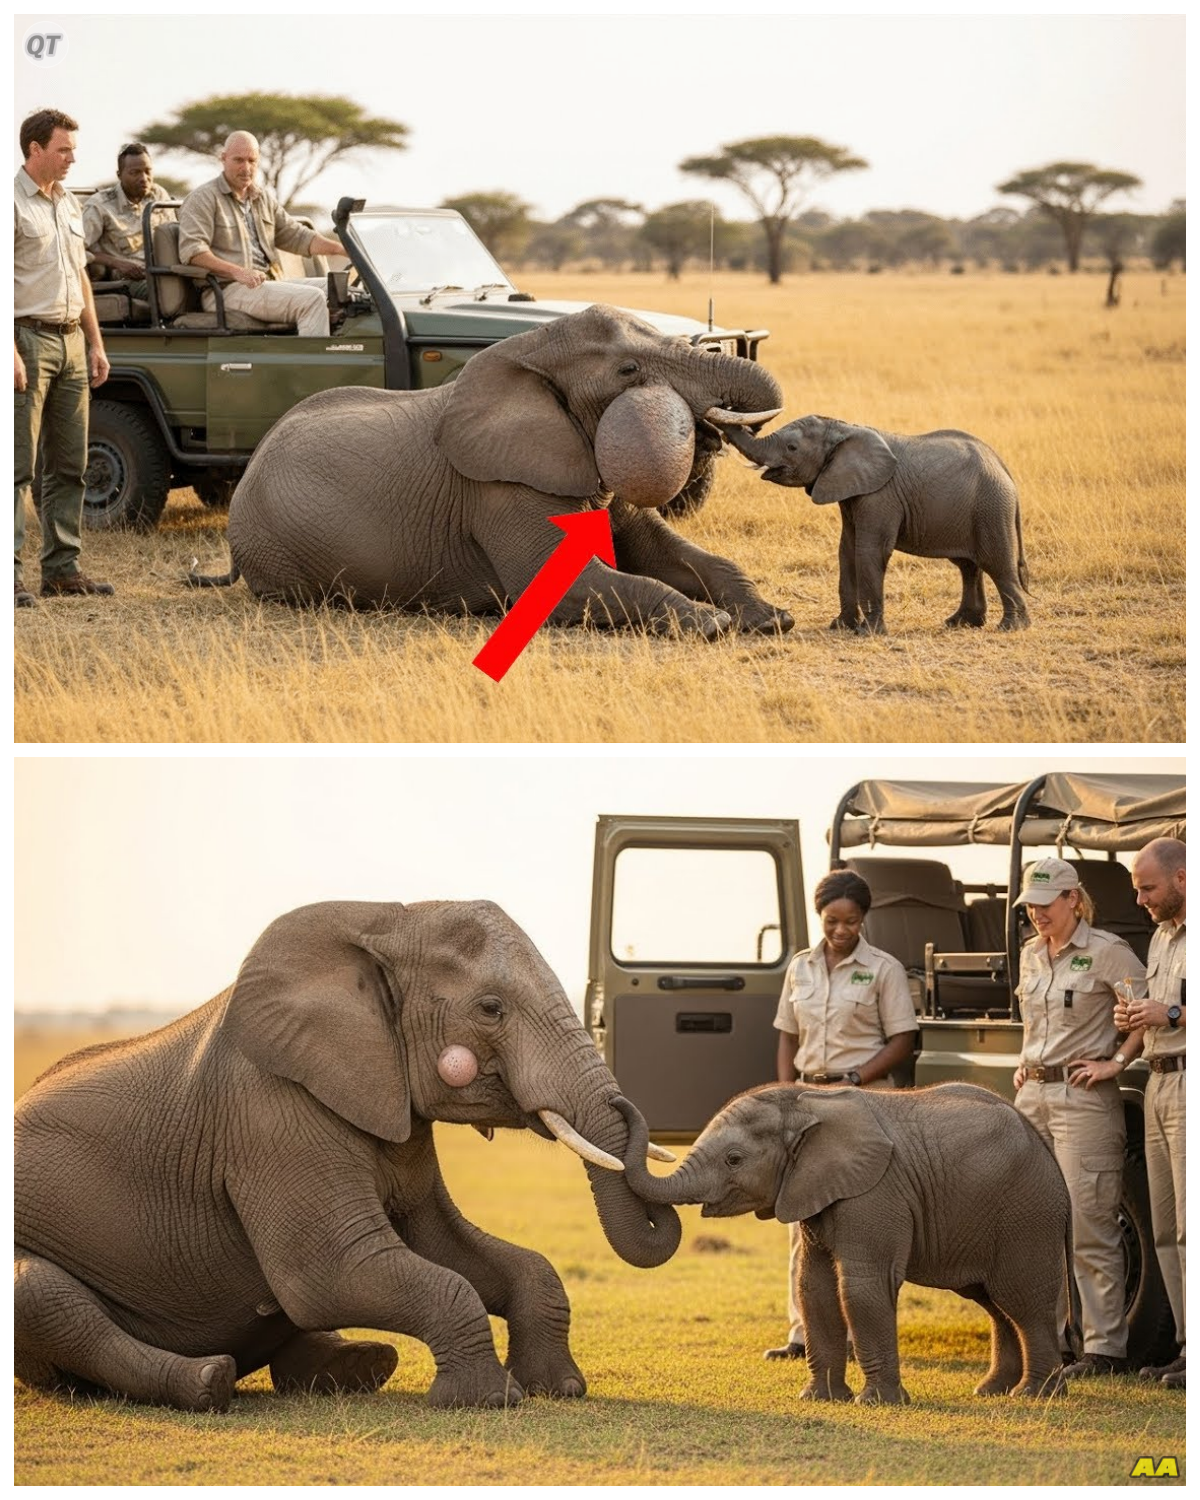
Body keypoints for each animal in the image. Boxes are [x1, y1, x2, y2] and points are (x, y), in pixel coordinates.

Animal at [14, 900, 682, 1414]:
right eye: (490, 1008)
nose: (630, 1115)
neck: (384, 921)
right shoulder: (270, 1115)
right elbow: (333, 1272)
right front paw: (487, 1401)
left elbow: (454, 1250)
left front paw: (557, 1390)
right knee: (45, 1296)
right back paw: (208, 1382)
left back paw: (359, 1368)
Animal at [192, 304, 793, 640]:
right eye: (629, 370)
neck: (529, 348)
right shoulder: (499, 490)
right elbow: (566, 584)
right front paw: (712, 625)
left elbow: (678, 554)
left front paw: (771, 618)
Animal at [616, 1083, 1078, 1405]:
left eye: (734, 1159)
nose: (619, 1102)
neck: (806, 1103)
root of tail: (1049, 1152)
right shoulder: (813, 1190)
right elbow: (814, 1288)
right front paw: (819, 1399)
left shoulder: (875, 1191)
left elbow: (861, 1288)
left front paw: (877, 1404)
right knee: (993, 1303)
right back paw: (991, 1391)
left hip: (1026, 1214)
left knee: (1020, 1299)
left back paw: (1035, 1395)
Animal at [717, 415, 1030, 634]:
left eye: (792, 447)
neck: (842, 427)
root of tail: (1004, 469)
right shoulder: (849, 491)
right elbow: (846, 552)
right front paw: (840, 627)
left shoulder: (879, 495)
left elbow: (869, 551)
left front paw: (867, 633)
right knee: (968, 566)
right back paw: (960, 623)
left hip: (991, 508)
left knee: (998, 565)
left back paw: (1011, 627)